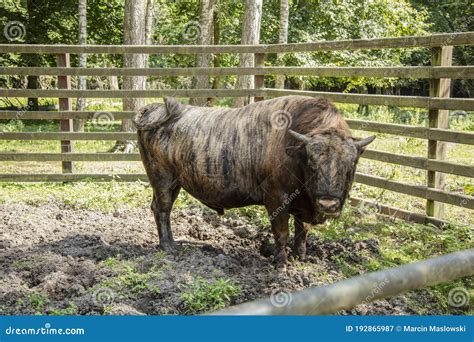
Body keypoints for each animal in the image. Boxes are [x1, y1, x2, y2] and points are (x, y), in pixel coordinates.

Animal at [133, 96, 374, 268]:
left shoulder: (303, 203)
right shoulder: (277, 199)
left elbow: (302, 230)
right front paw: (281, 262)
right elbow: (282, 233)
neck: (293, 149)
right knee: (162, 209)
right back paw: (168, 246)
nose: (328, 205)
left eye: (350, 164)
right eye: (312, 163)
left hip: (174, 184)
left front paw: (300, 256)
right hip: (163, 181)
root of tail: (156, 110)